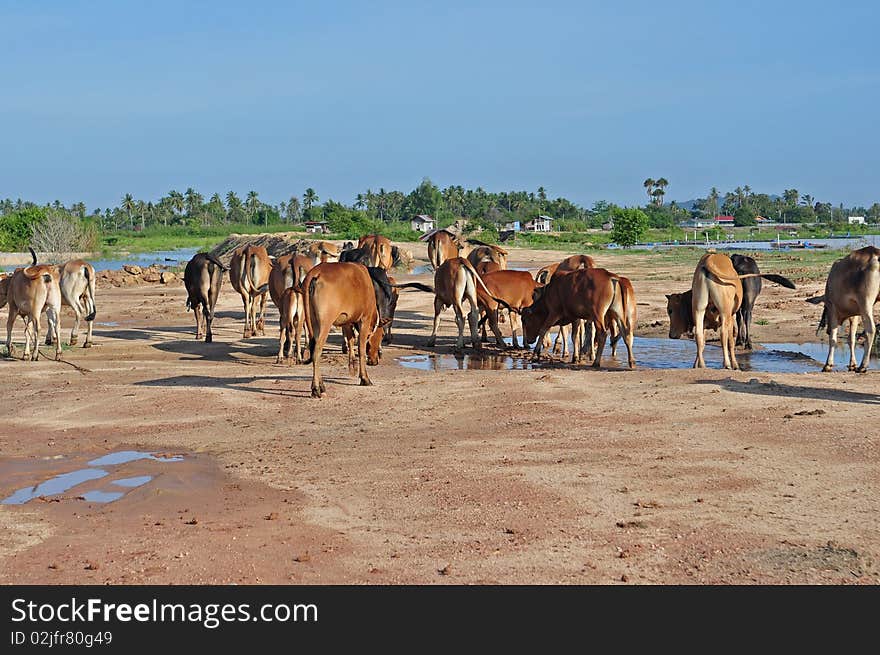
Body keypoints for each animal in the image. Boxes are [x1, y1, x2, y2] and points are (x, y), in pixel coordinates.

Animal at [300, 262, 386, 398]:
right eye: (382, 335)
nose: (375, 361)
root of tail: (315, 272)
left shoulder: (346, 321)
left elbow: (350, 341)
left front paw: (353, 366)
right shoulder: (364, 319)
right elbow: (361, 349)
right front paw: (365, 378)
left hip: (313, 322)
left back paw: (321, 385)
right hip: (325, 323)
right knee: (317, 352)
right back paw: (316, 389)